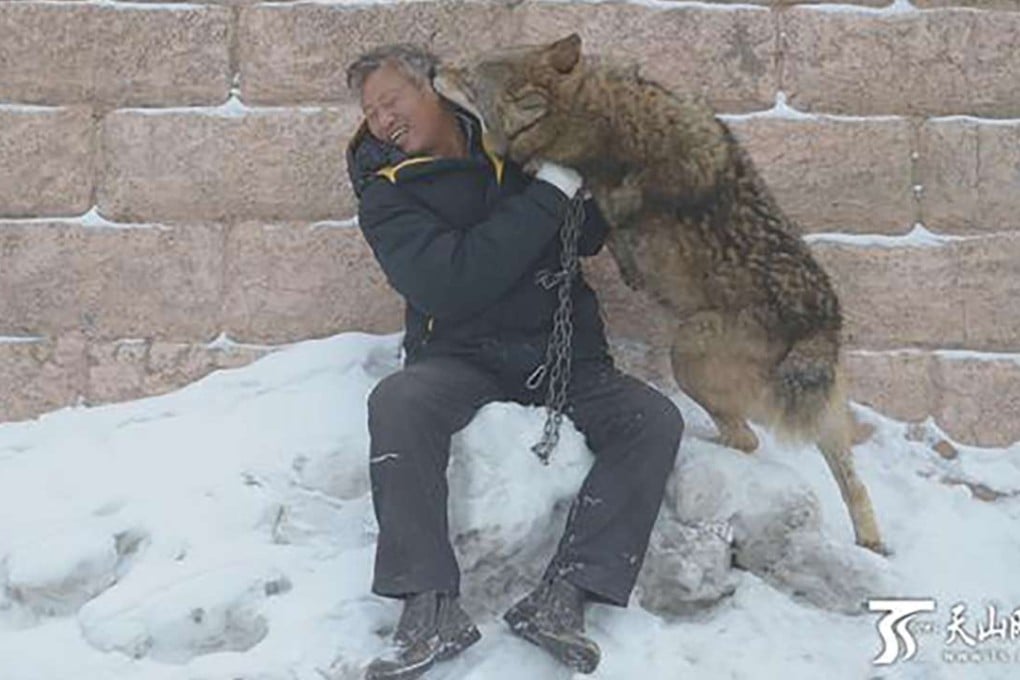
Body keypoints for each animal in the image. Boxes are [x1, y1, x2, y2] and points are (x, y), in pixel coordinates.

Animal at [434, 33, 886, 554]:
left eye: (468, 76)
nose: (433, 69)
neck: (595, 110)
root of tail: (820, 322)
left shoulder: (602, 200)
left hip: (686, 354)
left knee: (747, 440)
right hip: (825, 418)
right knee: (853, 484)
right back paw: (872, 543)